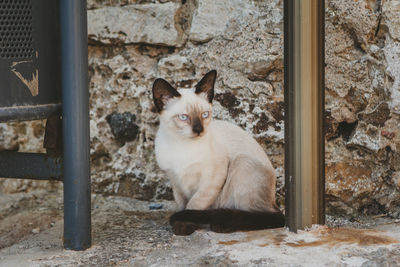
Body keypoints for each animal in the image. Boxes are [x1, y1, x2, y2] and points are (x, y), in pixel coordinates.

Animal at [151, 70, 284, 236]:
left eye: (204, 115)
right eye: (184, 117)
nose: (199, 130)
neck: (181, 145)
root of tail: (274, 201)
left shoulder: (211, 180)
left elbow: (193, 205)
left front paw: (183, 226)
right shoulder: (176, 182)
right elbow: (182, 205)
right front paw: (178, 226)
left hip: (241, 163)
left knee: (255, 217)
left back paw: (222, 225)